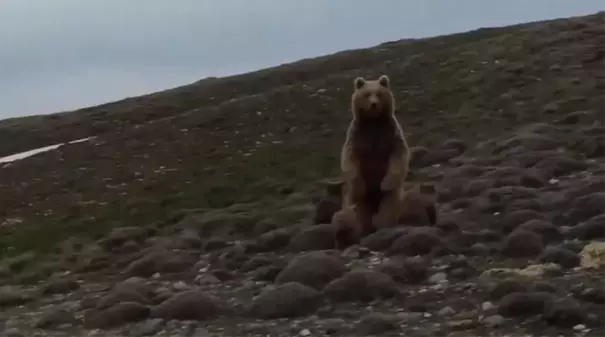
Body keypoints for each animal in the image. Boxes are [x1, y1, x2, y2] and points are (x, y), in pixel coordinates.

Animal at [340, 74, 410, 236]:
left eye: (379, 94)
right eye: (367, 94)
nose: (373, 104)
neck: (374, 122)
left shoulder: (390, 134)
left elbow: (398, 156)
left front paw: (385, 184)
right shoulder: (358, 136)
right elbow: (350, 158)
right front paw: (358, 184)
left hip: (393, 195)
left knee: (388, 205)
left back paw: (382, 224)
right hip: (362, 199)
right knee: (361, 211)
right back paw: (364, 229)